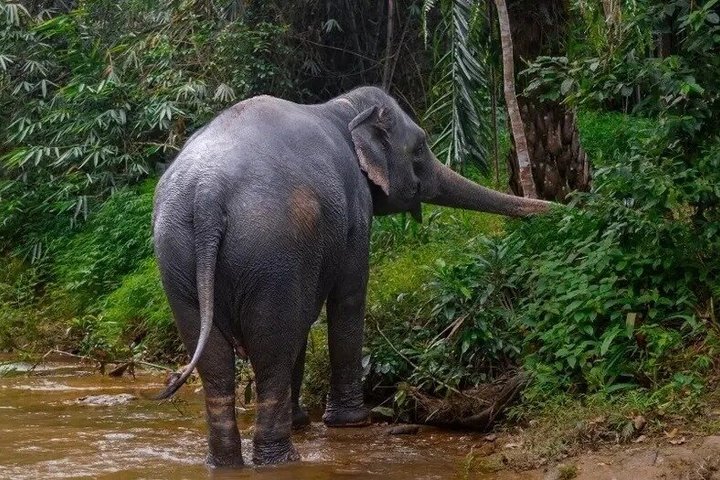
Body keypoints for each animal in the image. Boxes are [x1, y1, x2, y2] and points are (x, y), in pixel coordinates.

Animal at [152, 86, 551, 467]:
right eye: (420, 146)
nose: (559, 207)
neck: (342, 107)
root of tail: (209, 194)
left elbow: (304, 322)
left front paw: (304, 420)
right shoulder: (356, 209)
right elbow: (348, 296)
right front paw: (353, 422)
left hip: (178, 257)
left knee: (215, 361)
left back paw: (226, 462)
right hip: (269, 250)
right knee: (271, 348)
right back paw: (282, 459)